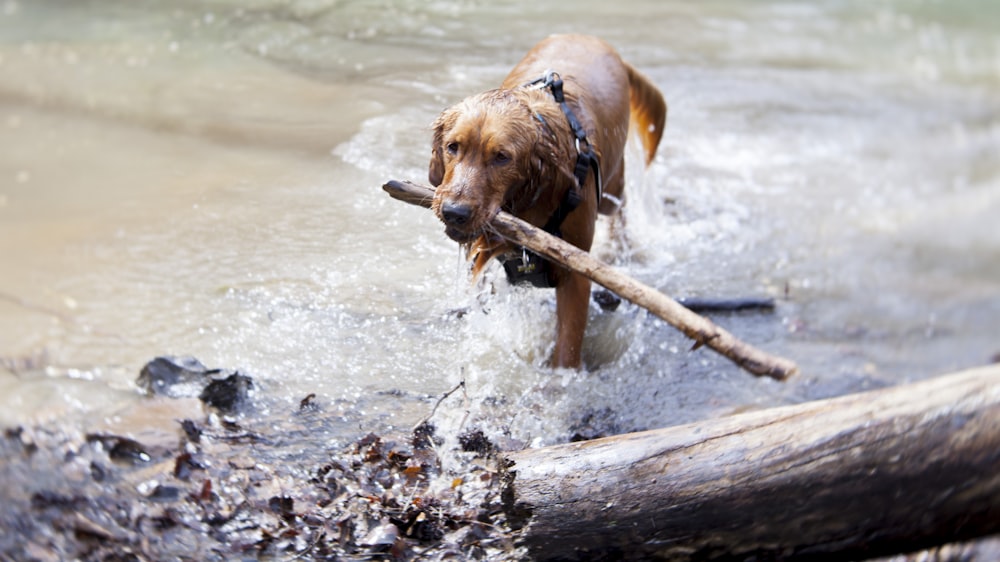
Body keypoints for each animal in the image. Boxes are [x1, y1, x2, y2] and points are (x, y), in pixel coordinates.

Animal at [428, 34, 664, 368]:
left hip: (612, 189)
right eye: (452, 147)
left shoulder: (575, 272)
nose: (454, 212)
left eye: (502, 157)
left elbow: (567, 346)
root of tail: (594, 38)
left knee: (621, 207)